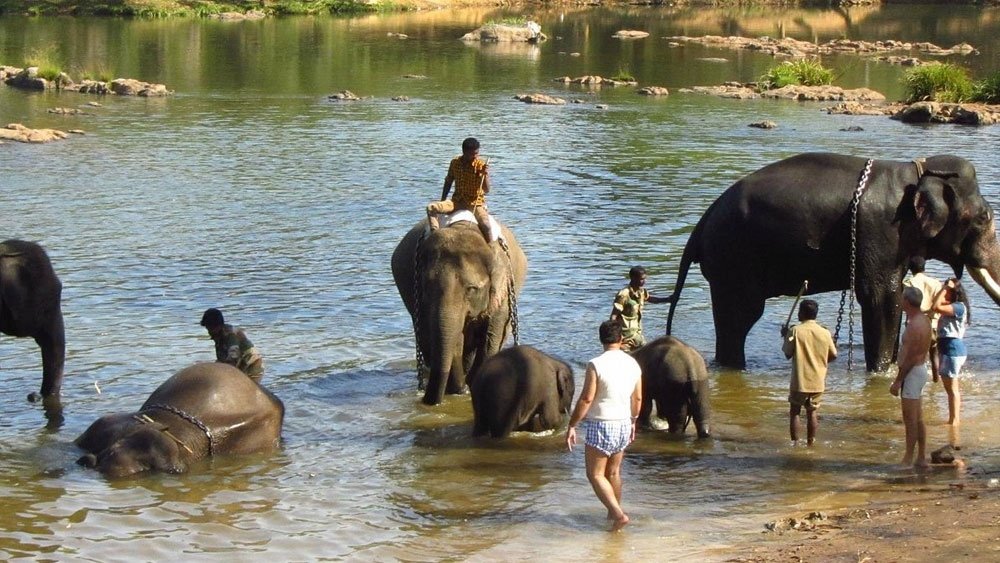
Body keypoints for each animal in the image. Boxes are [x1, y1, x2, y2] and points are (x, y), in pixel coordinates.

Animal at [392, 219, 527, 405]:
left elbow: (491, 337)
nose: (425, 401)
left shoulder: (503, 293)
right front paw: (459, 390)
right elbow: (454, 338)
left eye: (471, 289)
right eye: (427, 285)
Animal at [666, 153, 1000, 372]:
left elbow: (896, 299)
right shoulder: (880, 232)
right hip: (733, 258)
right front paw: (880, 373)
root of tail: (702, 223)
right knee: (740, 319)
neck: (916, 172)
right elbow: (881, 299)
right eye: (985, 218)